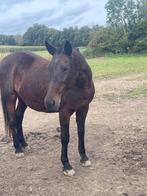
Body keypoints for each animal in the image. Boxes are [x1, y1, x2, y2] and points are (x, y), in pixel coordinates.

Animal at [0, 41, 94, 176]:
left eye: (65, 69)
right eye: (49, 69)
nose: (50, 102)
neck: (79, 87)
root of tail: (5, 60)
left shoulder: (83, 109)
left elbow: (81, 133)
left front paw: (84, 158)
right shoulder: (64, 112)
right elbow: (65, 137)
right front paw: (66, 165)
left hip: (23, 99)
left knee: (19, 118)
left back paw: (24, 145)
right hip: (10, 97)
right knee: (13, 121)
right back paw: (18, 149)